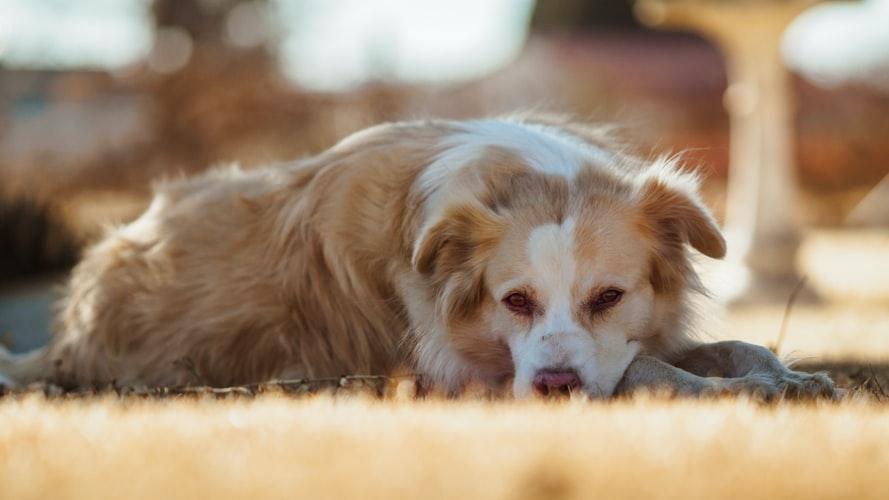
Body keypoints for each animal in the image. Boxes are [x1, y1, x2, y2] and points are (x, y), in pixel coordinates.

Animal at [0, 116, 832, 398]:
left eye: (608, 297)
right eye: (514, 301)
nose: (555, 387)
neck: (525, 179)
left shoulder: (631, 332)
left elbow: (728, 344)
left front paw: (783, 374)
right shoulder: (461, 370)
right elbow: (642, 371)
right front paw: (736, 391)